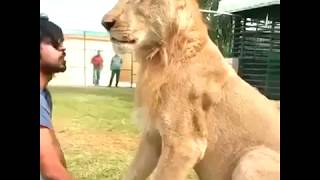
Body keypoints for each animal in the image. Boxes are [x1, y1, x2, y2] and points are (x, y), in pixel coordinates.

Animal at [101, 0, 278, 180]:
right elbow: (133, 173)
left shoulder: (185, 145)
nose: (105, 23)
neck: (160, 57)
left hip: (250, 158)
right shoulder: (152, 137)